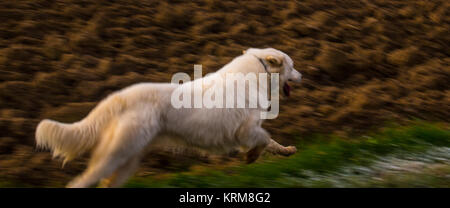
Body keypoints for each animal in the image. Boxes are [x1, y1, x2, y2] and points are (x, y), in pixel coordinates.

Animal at [35, 48, 302, 188]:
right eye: (292, 65)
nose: (302, 76)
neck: (257, 73)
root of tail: (120, 97)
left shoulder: (248, 130)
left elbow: (270, 141)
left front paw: (286, 151)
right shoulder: (245, 129)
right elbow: (264, 137)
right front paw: (252, 156)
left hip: (128, 158)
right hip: (115, 155)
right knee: (81, 182)